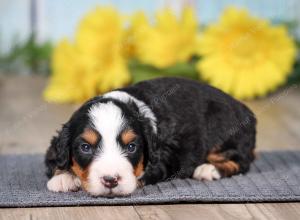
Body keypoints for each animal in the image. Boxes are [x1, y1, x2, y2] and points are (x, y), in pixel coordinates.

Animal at [44, 77, 255, 196]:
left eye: (131, 147)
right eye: (85, 147)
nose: (111, 180)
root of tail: (247, 112)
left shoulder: (167, 156)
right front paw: (63, 178)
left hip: (223, 129)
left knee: (241, 162)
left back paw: (208, 169)